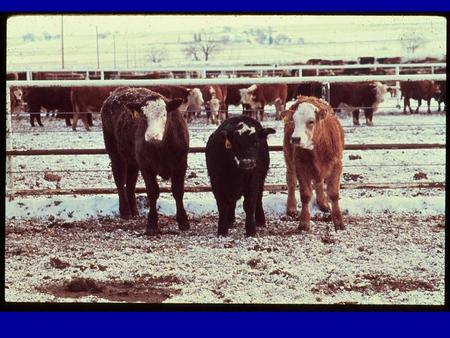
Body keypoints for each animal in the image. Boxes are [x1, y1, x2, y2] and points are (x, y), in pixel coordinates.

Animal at [101, 87, 189, 235]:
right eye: (143, 116)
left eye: (164, 115)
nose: (152, 136)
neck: (161, 149)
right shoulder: (146, 166)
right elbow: (152, 192)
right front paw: (152, 223)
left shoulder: (181, 164)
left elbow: (178, 191)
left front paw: (183, 221)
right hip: (115, 153)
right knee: (119, 180)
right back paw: (125, 211)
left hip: (132, 161)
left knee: (130, 183)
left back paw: (134, 212)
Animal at [282, 95, 344, 232]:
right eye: (294, 120)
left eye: (311, 121)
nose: (295, 138)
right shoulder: (301, 167)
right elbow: (305, 195)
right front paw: (304, 222)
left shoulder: (337, 165)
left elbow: (334, 193)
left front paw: (338, 221)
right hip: (289, 159)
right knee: (291, 181)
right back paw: (291, 207)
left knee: (318, 182)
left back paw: (323, 203)